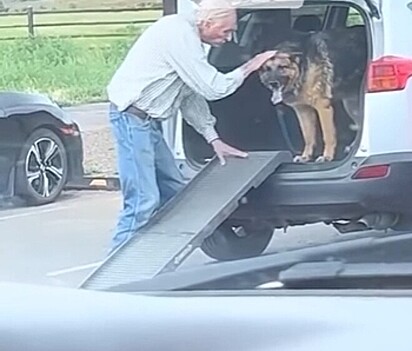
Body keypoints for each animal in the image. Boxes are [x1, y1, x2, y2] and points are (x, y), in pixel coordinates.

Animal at [260, 26, 368, 164]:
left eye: (282, 67)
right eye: (267, 69)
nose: (273, 83)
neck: (302, 67)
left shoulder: (323, 108)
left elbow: (328, 136)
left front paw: (327, 157)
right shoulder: (303, 111)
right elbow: (308, 137)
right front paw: (305, 157)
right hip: (351, 106)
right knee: (360, 124)